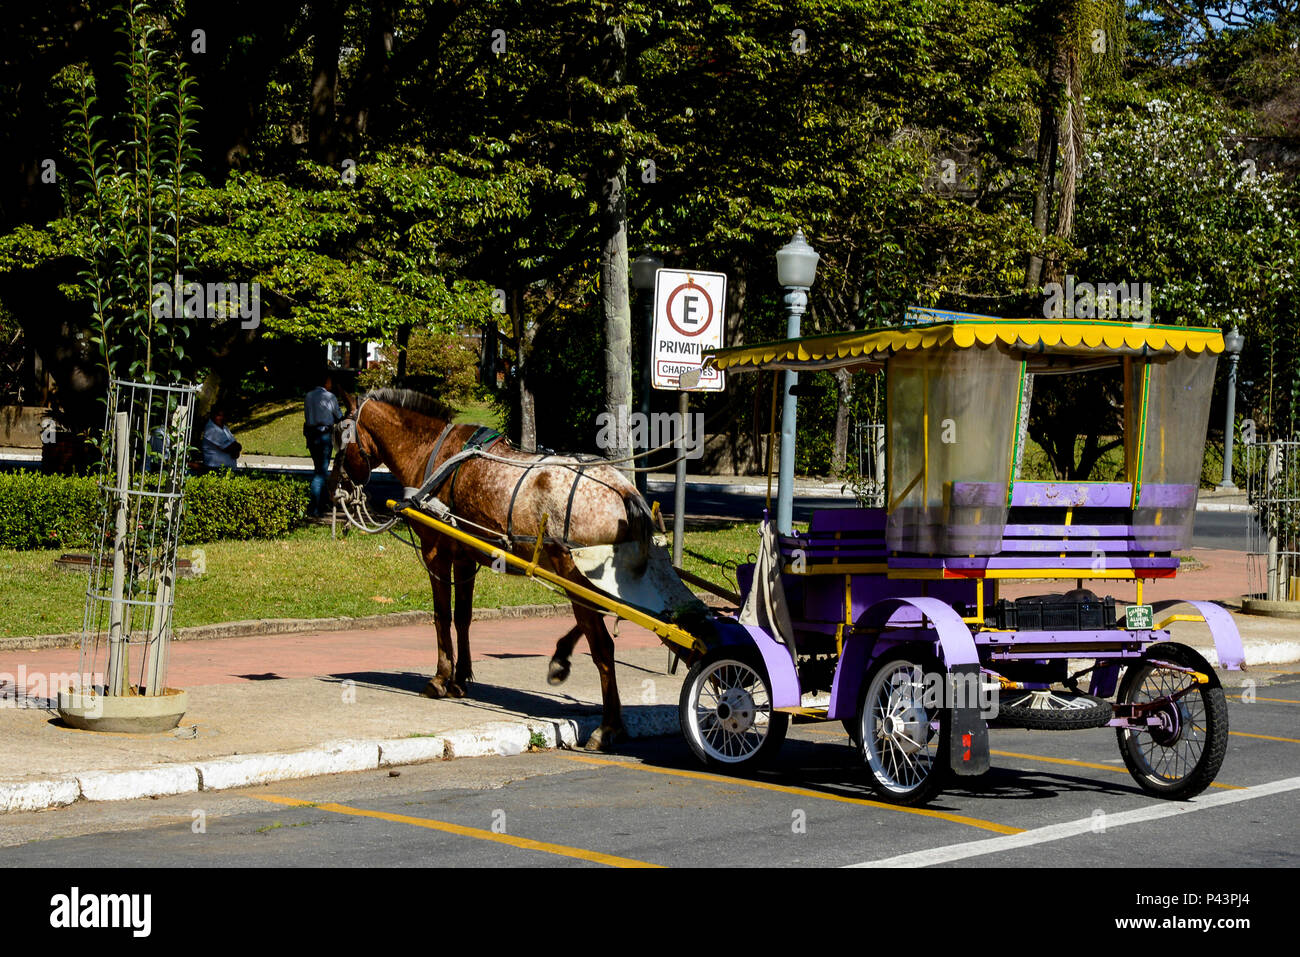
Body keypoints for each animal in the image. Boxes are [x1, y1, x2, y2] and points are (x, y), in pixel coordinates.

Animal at [323, 387, 650, 748]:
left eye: (340, 435)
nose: (333, 486)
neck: (431, 452)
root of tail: (625, 491)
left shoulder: (435, 552)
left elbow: (441, 616)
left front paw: (440, 678)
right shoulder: (465, 556)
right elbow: (463, 617)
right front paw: (461, 677)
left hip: (574, 574)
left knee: (603, 646)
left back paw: (607, 725)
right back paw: (565, 660)